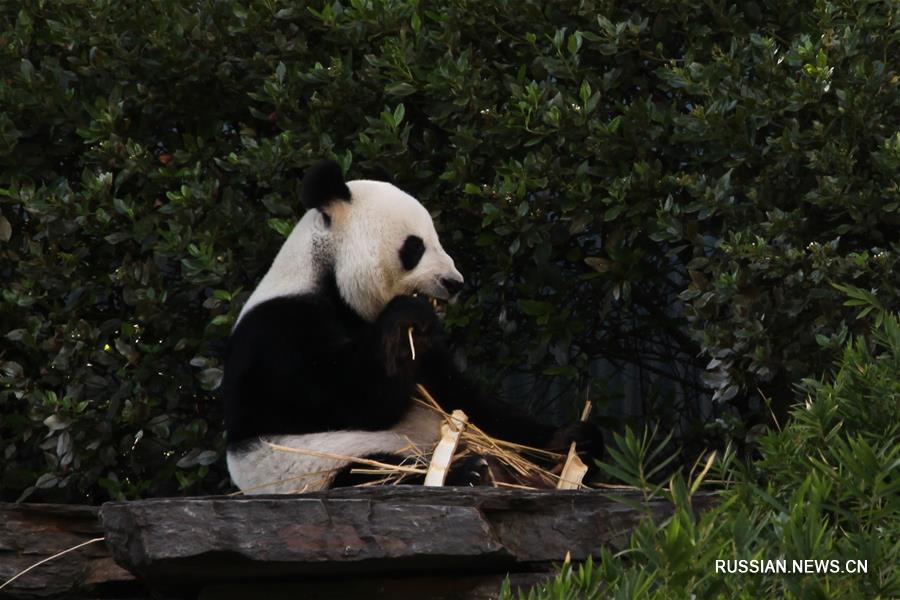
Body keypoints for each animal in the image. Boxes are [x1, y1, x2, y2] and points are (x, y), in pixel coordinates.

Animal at [221, 159, 596, 492]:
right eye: (415, 246)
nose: (454, 282)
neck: (325, 275)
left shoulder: (431, 358)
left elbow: (465, 399)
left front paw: (568, 439)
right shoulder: (278, 332)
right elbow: (347, 399)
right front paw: (403, 321)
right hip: (315, 464)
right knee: (371, 472)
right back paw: (471, 472)